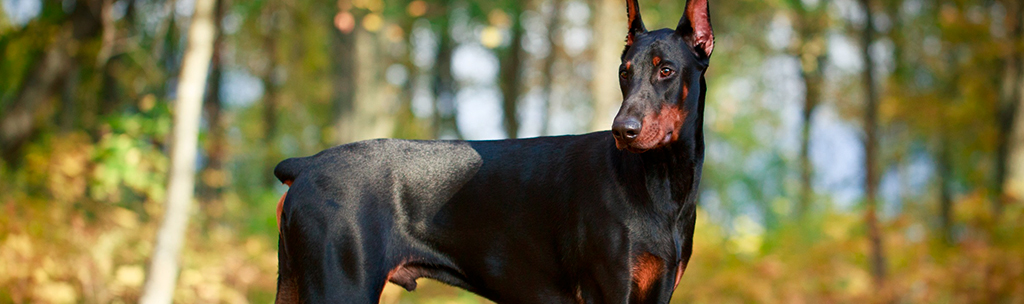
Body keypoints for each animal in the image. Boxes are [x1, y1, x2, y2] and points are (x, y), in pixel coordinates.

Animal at [276, 0, 716, 300]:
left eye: (666, 70)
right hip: (341, 284)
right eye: (625, 73)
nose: (623, 130)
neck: (660, 184)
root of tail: (307, 164)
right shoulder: (609, 290)